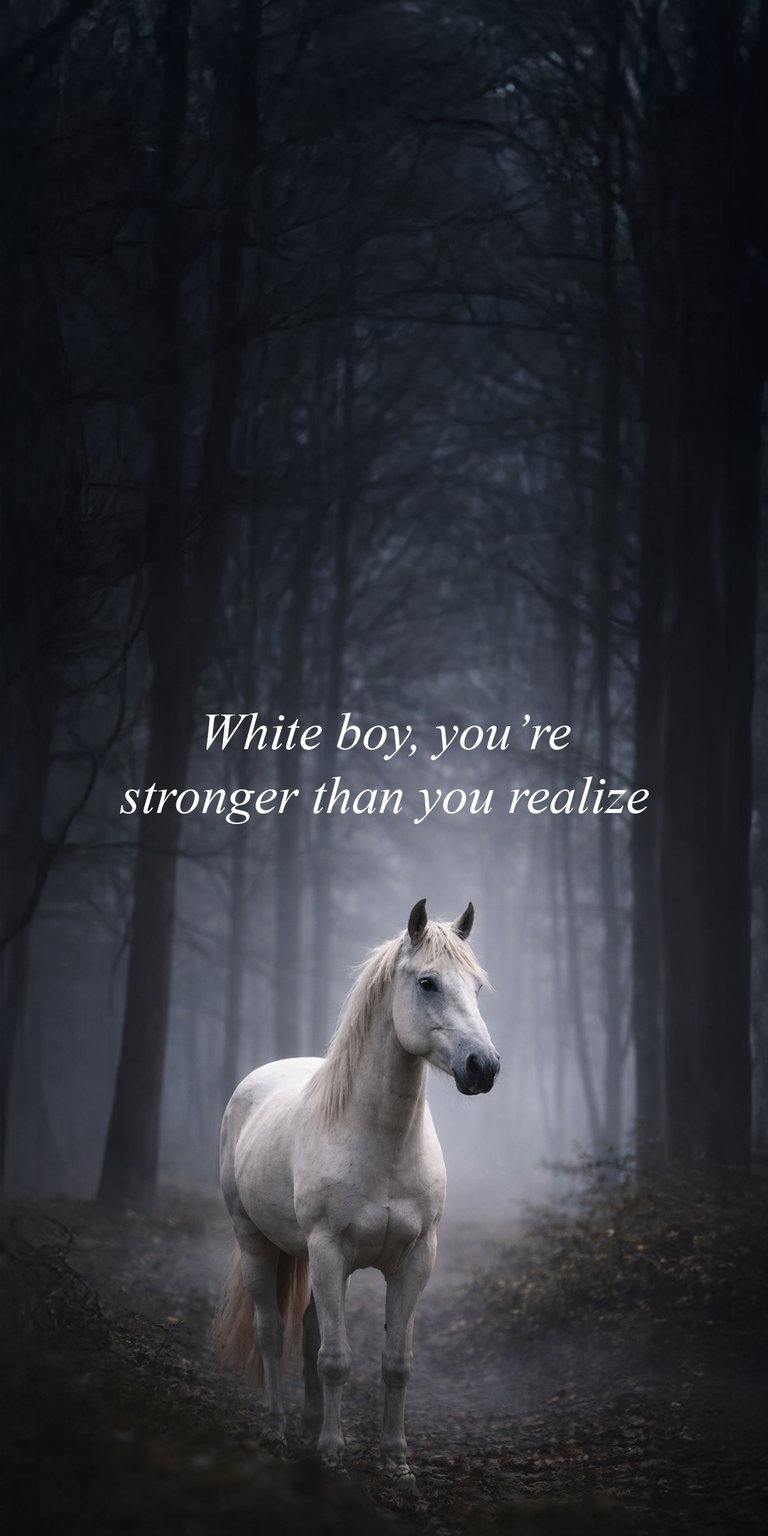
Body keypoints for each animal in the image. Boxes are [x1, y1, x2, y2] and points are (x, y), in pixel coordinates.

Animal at [212, 897, 500, 1482]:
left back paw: (307, 1426)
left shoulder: (415, 1259)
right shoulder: (330, 1252)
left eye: (477, 986)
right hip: (258, 1243)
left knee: (309, 1334)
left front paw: (396, 1459)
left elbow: (395, 1364)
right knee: (272, 1332)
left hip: (305, 1257)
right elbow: (337, 1361)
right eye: (428, 983)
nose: (483, 1066)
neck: (380, 1140)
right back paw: (277, 1429)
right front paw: (331, 1454)